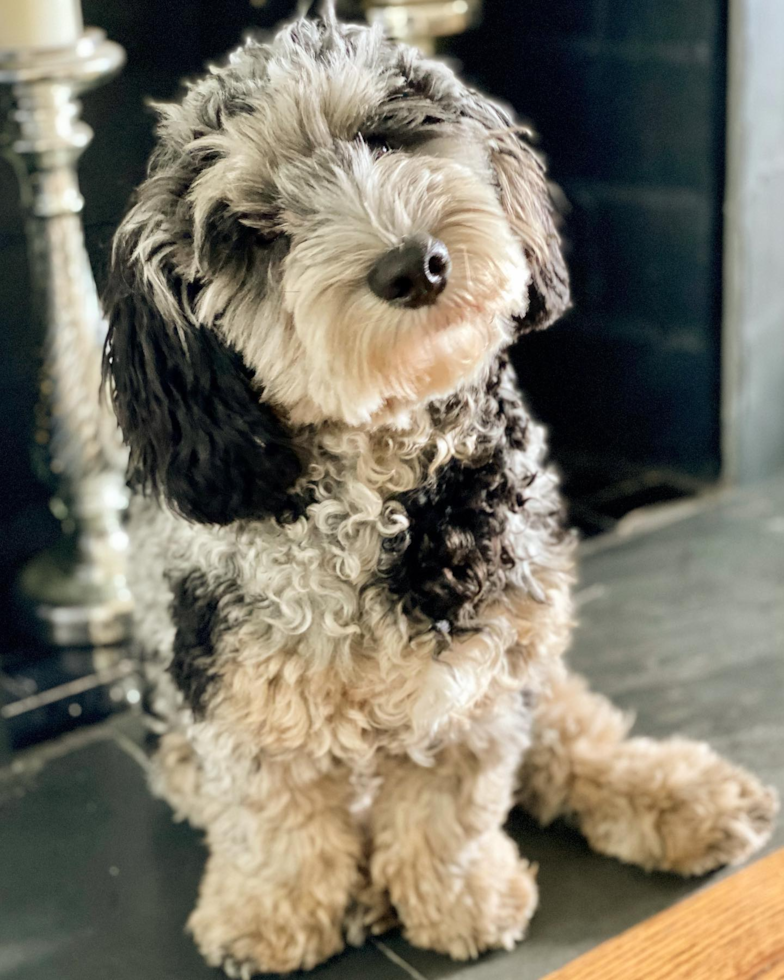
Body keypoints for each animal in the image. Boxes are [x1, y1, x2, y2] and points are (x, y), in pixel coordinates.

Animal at [102, 9, 776, 980]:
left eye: (388, 136)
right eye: (255, 229)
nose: (412, 264)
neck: (391, 499)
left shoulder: (484, 663)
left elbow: (454, 799)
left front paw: (459, 900)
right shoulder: (234, 687)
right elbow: (276, 818)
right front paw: (270, 918)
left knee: (569, 733)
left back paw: (676, 796)